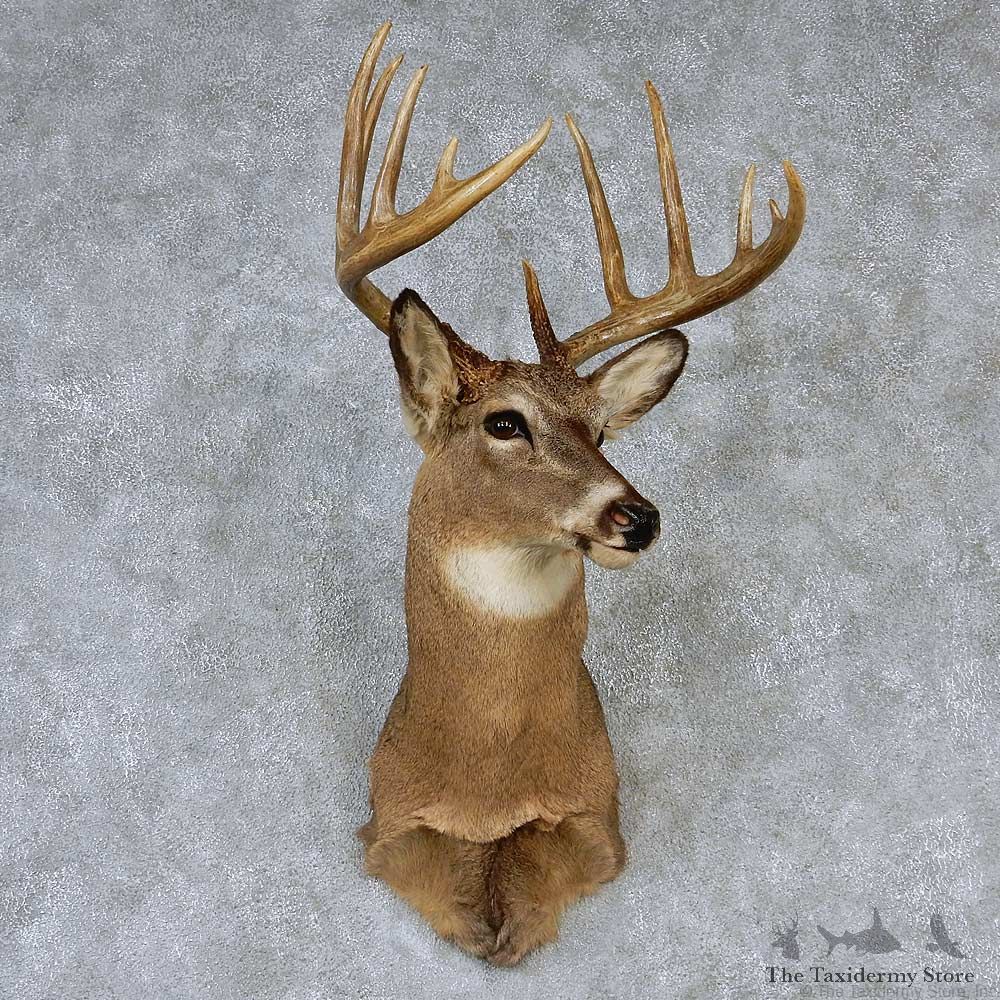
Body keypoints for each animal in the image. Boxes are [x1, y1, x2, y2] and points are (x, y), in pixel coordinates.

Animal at [336, 22, 805, 965]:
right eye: (504, 422)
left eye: (600, 429)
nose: (638, 514)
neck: (488, 777)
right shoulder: (383, 815)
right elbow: (427, 867)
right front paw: (480, 918)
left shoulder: (601, 812)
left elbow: (553, 859)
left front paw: (510, 921)